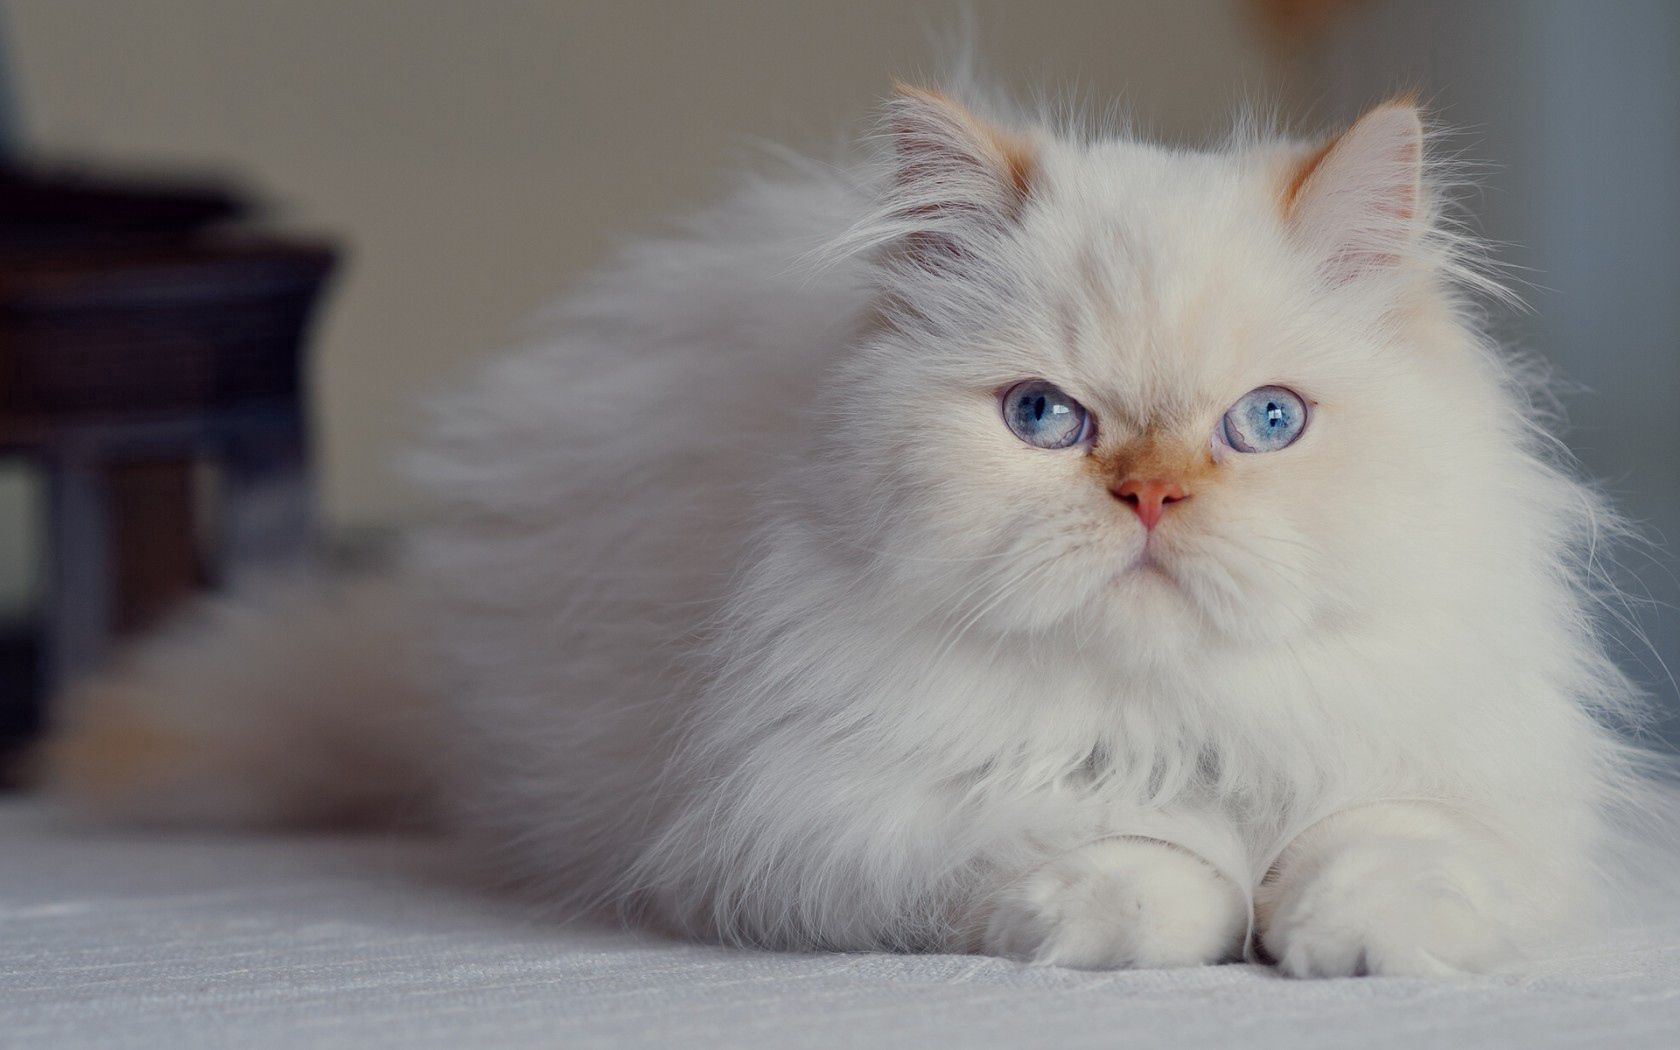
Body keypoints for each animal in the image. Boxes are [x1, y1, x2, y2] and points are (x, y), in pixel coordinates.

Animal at [45, 86, 1659, 981]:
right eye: (1045, 419)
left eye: (1265, 423)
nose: (1149, 495)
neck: (1163, 717)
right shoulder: (831, 815)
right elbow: (1131, 860)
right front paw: (1185, 907)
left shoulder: (1465, 770)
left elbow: (1384, 842)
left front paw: (1363, 943)